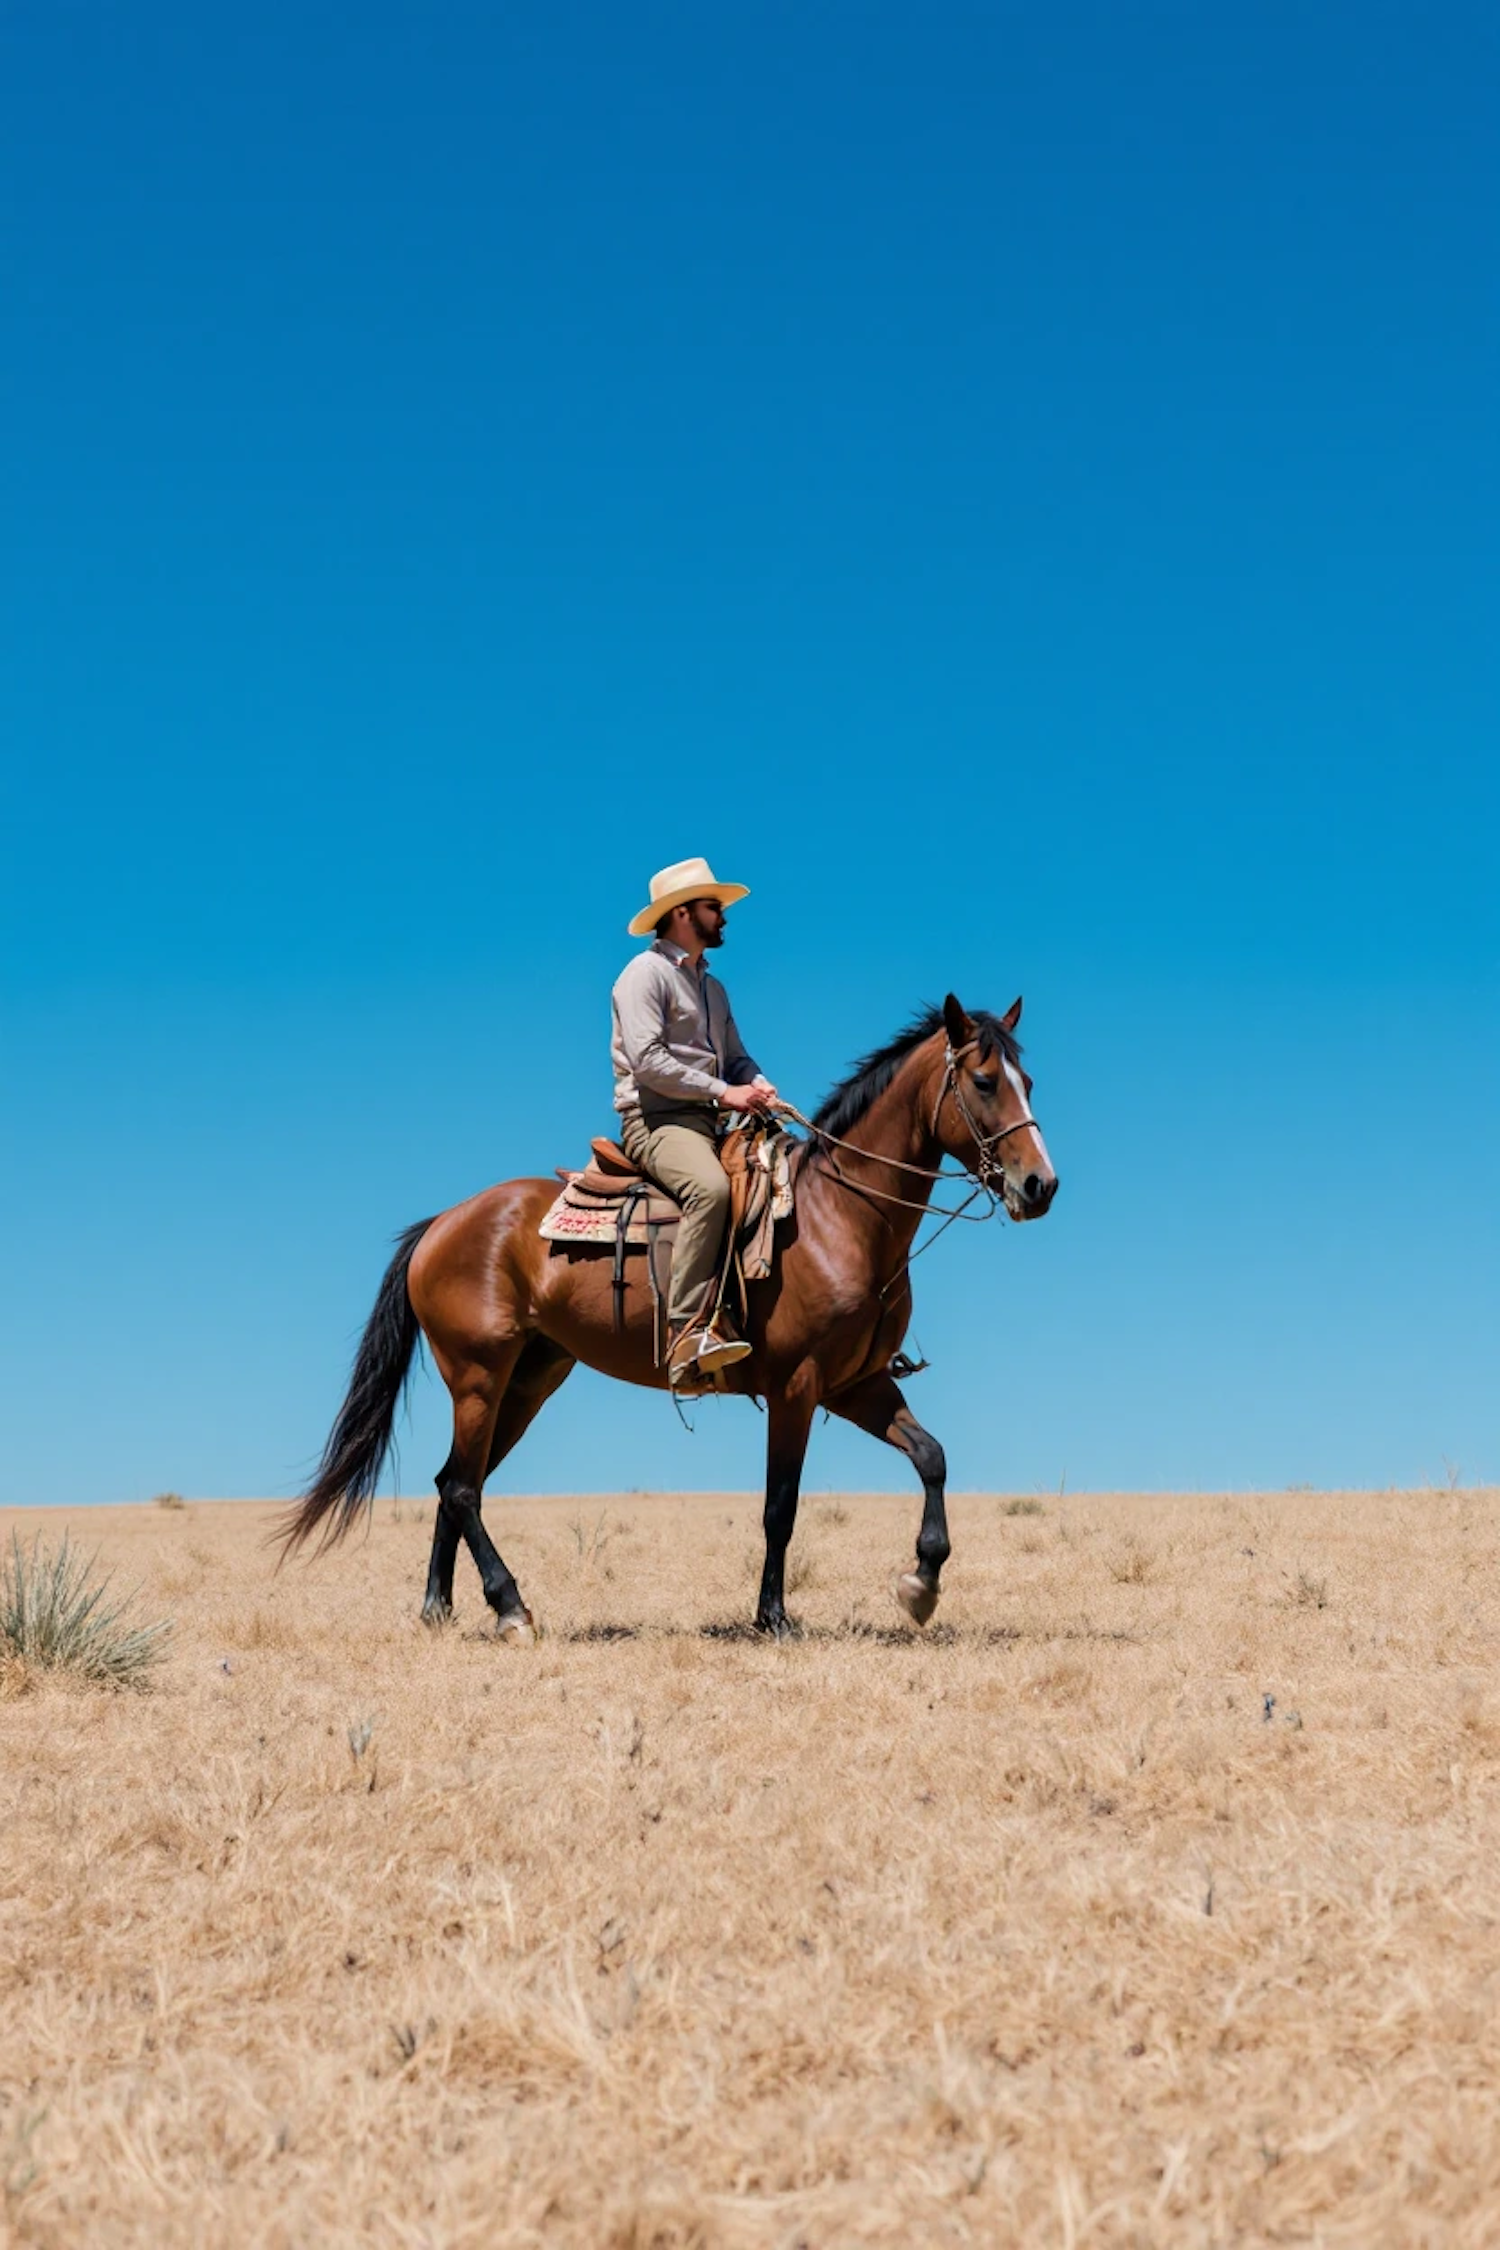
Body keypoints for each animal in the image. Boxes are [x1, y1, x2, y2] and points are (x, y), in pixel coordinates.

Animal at [278, 994, 1056, 1647]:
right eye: (984, 1081)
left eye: (1028, 1081)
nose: (1039, 1185)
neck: (841, 1218)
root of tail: (442, 1223)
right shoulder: (796, 1389)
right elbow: (780, 1506)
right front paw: (773, 1617)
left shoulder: (855, 1385)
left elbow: (932, 1457)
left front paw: (921, 1584)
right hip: (477, 1376)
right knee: (464, 1488)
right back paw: (511, 1607)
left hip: (528, 1381)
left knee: (450, 1485)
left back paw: (439, 1609)